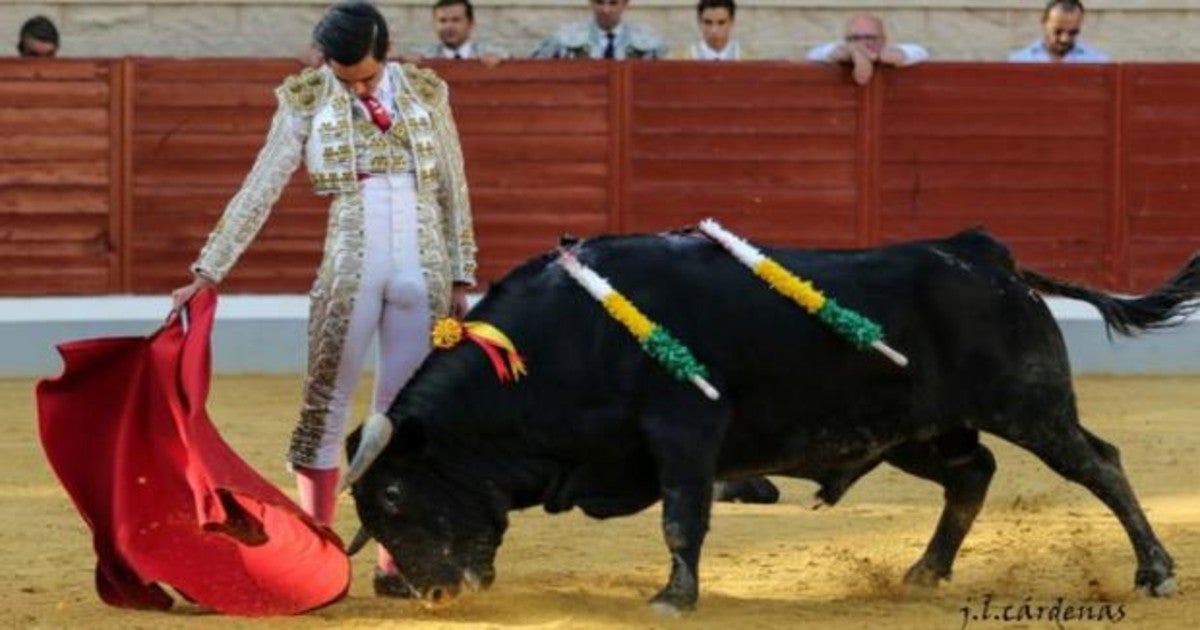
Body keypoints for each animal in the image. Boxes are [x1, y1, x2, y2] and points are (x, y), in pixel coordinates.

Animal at [343, 228, 1195, 612]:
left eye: (394, 496)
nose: (432, 593)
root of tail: (985, 254)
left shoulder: (685, 432)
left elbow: (682, 518)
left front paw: (673, 598)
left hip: (1030, 404)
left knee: (1100, 464)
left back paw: (1155, 571)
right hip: (914, 432)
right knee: (974, 473)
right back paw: (925, 571)